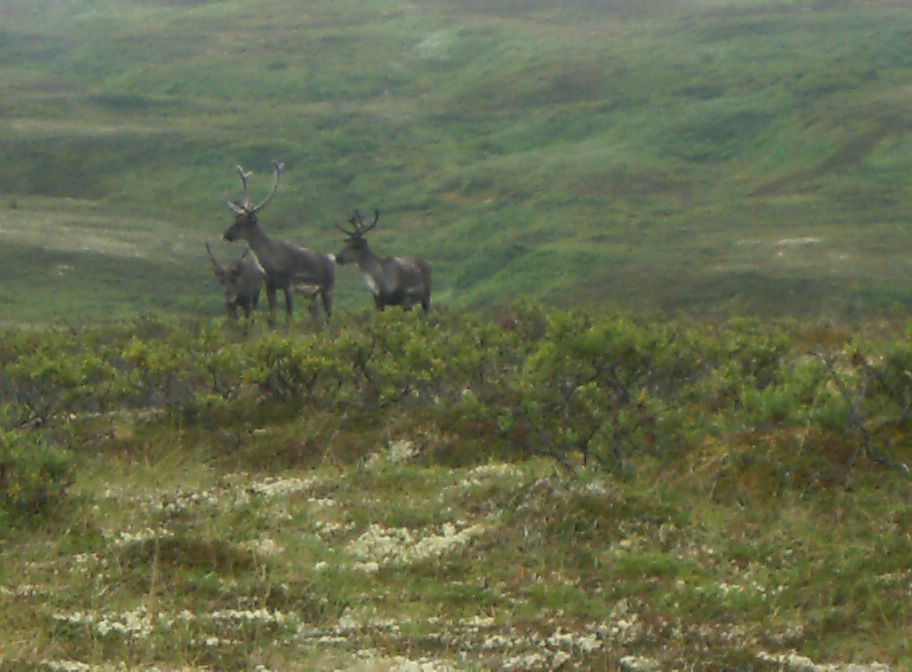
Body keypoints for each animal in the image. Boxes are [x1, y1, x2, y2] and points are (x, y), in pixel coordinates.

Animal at [222, 160, 335, 323]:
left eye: (241, 223)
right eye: (235, 219)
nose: (226, 235)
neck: (270, 261)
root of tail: (332, 259)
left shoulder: (288, 284)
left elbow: (289, 315)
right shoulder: (269, 285)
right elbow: (273, 315)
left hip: (328, 288)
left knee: (329, 315)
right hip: (312, 294)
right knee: (318, 318)